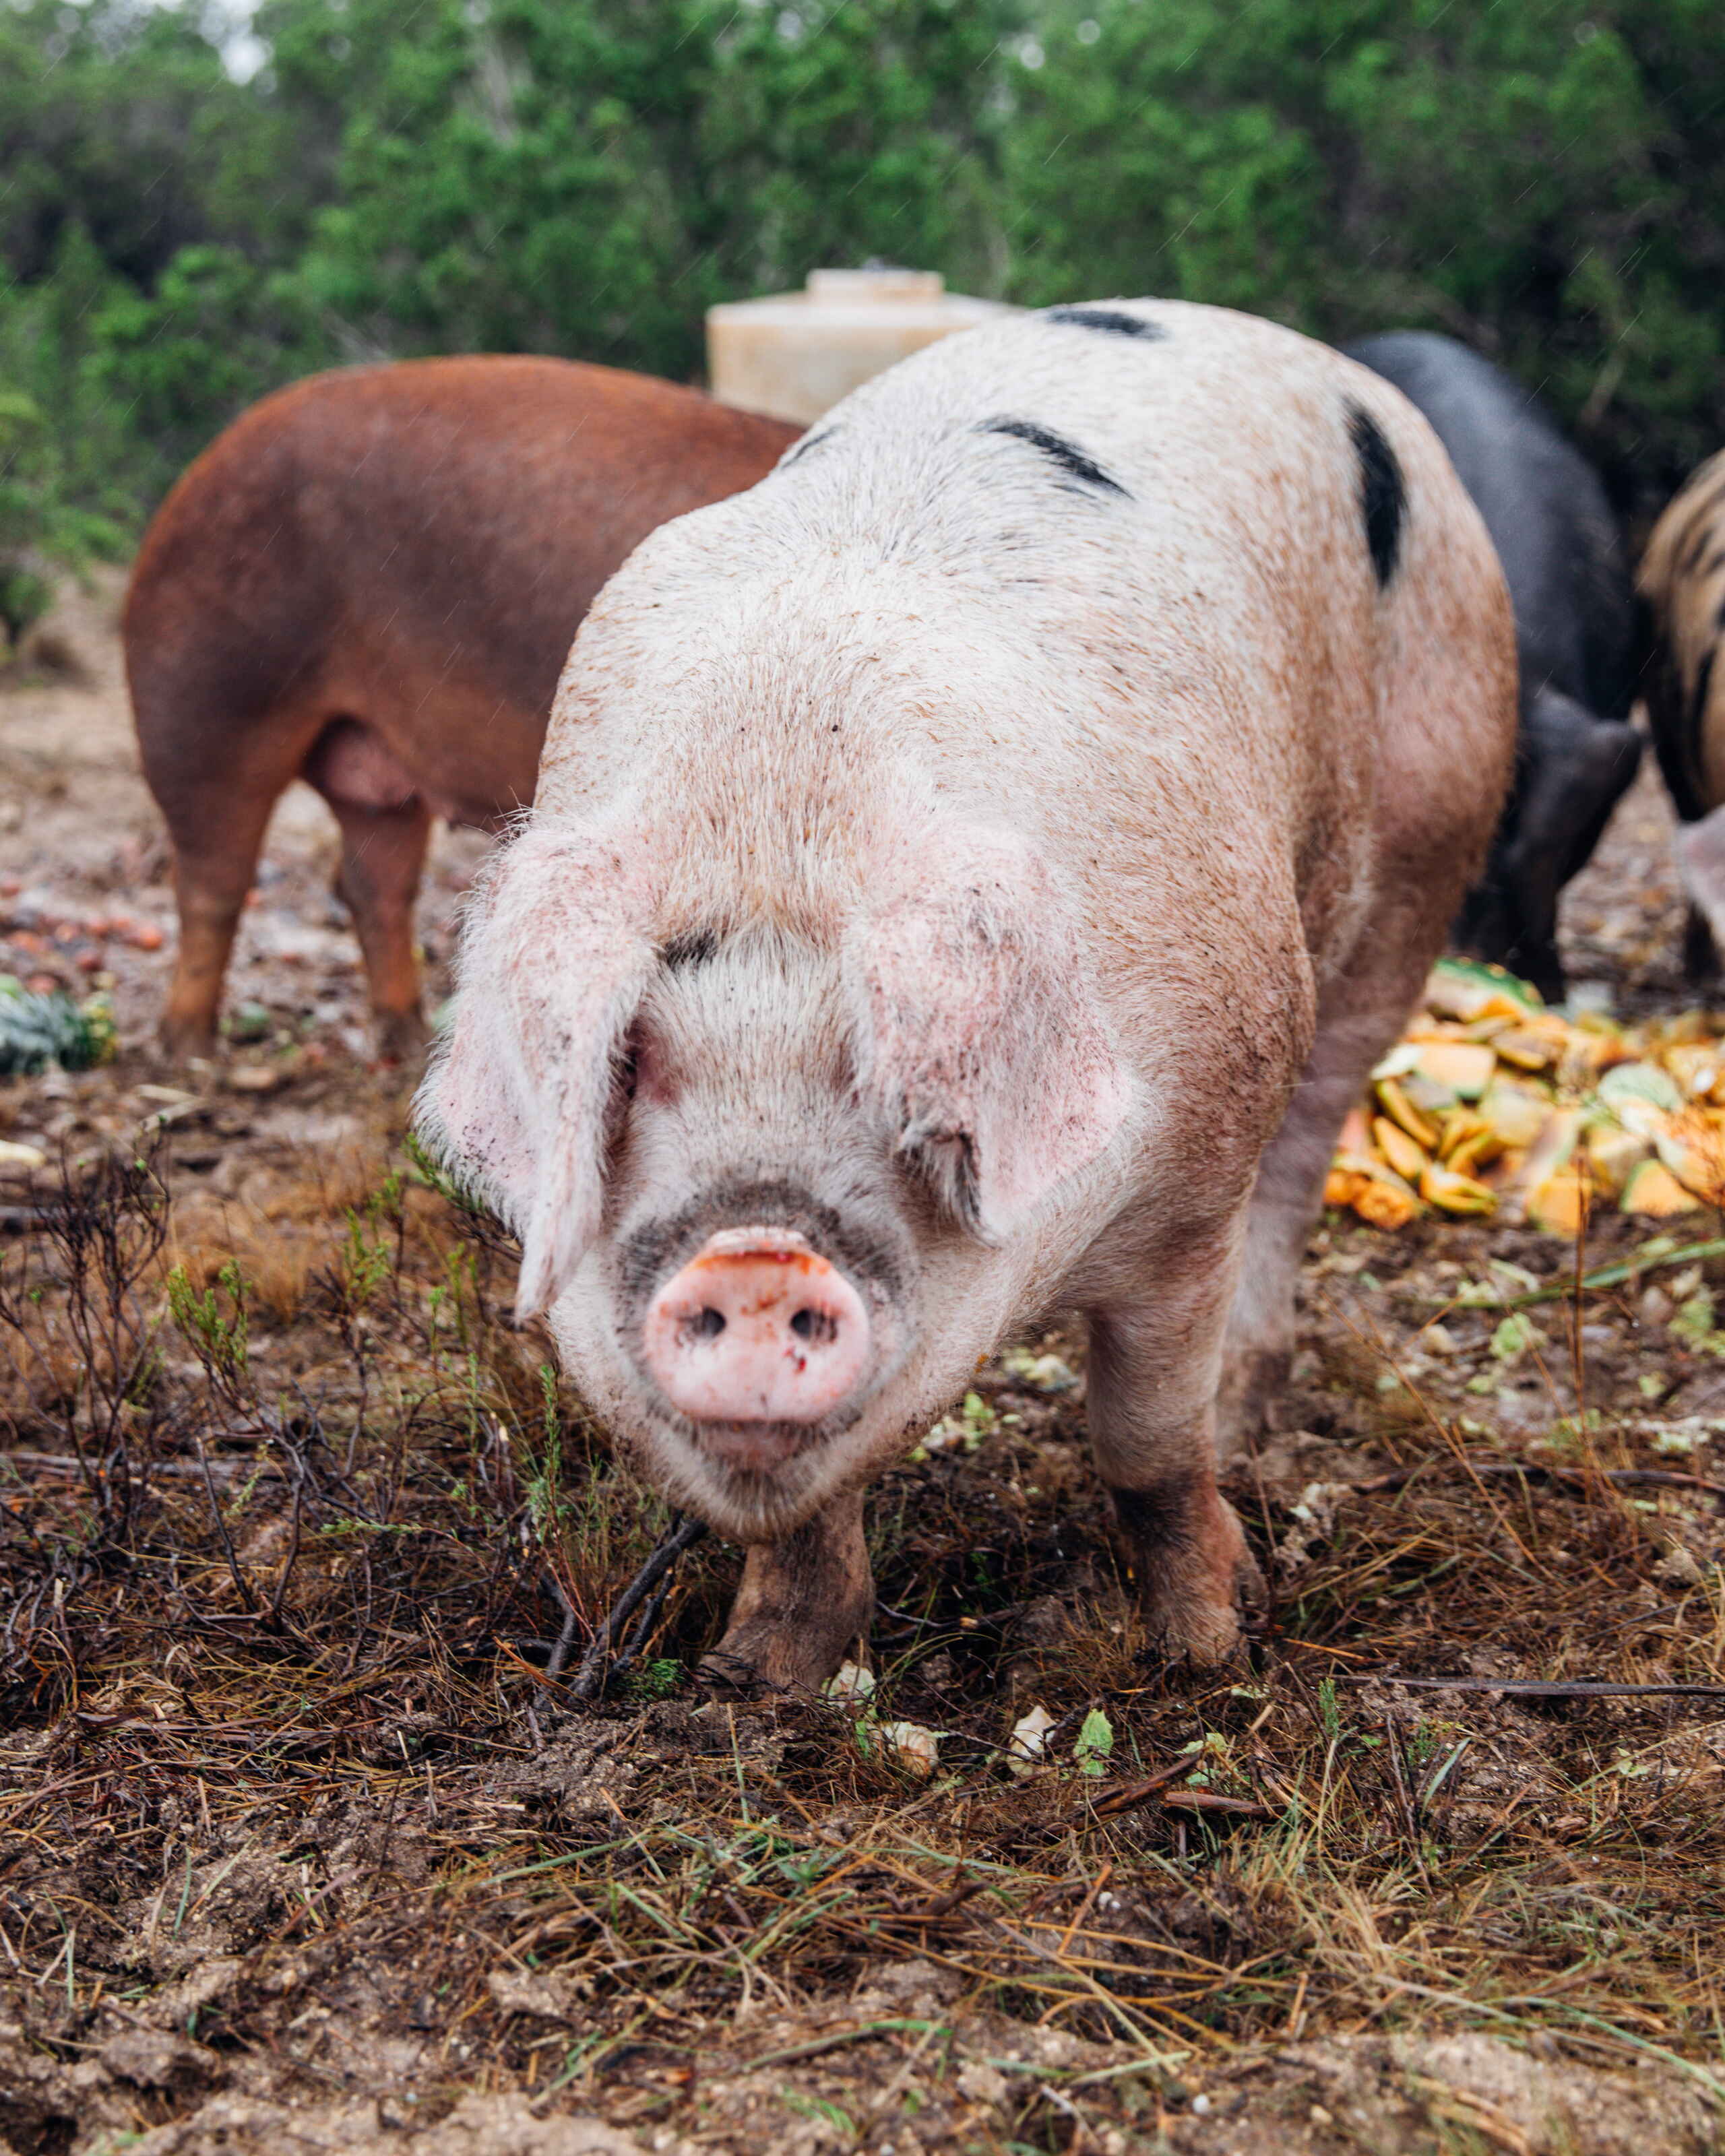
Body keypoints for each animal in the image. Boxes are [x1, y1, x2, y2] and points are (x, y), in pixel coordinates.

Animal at [124, 356, 797, 1060]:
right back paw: (191, 1050)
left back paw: (406, 1043)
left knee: (371, 882)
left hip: (369, 768)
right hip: (206, 694)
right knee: (213, 880)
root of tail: (205, 462)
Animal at [418, 300, 1517, 1690]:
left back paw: (1259, 1422)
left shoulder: (1193, 1179)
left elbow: (1150, 1442)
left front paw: (1209, 1646)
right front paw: (755, 1679)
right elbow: (804, 1525)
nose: (755, 1253)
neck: (779, 818)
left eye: (888, 1072)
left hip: (1429, 836)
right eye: (637, 1064)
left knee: (1311, 1140)